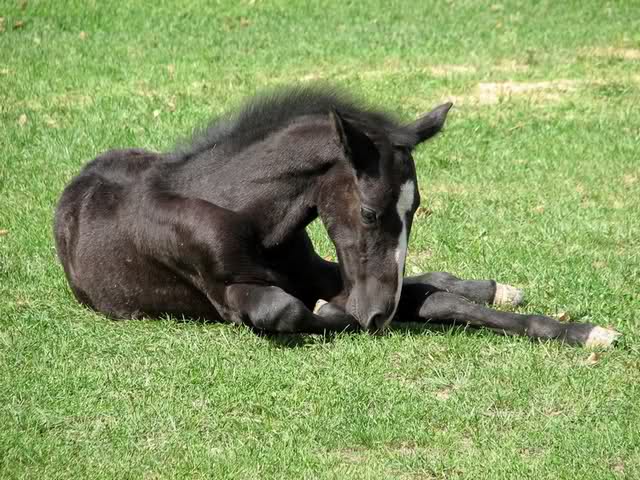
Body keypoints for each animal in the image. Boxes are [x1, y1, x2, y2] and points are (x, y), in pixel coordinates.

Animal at [53, 87, 620, 348]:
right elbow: (291, 311)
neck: (245, 216)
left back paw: (495, 287)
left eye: (416, 208)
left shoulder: (327, 273)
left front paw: (586, 332)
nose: (379, 314)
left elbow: (434, 300)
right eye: (370, 212)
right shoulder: (229, 298)